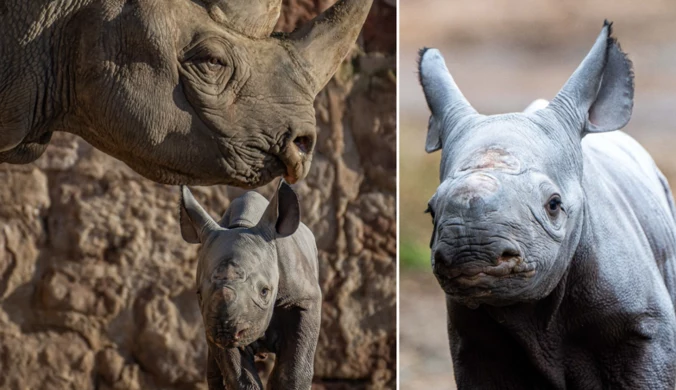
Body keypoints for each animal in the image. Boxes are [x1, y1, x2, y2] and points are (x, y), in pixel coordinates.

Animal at [180, 183, 322, 390]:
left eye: (265, 291)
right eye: (198, 294)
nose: (225, 331)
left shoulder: (303, 299)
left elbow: (293, 371)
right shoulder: (224, 317)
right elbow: (240, 376)